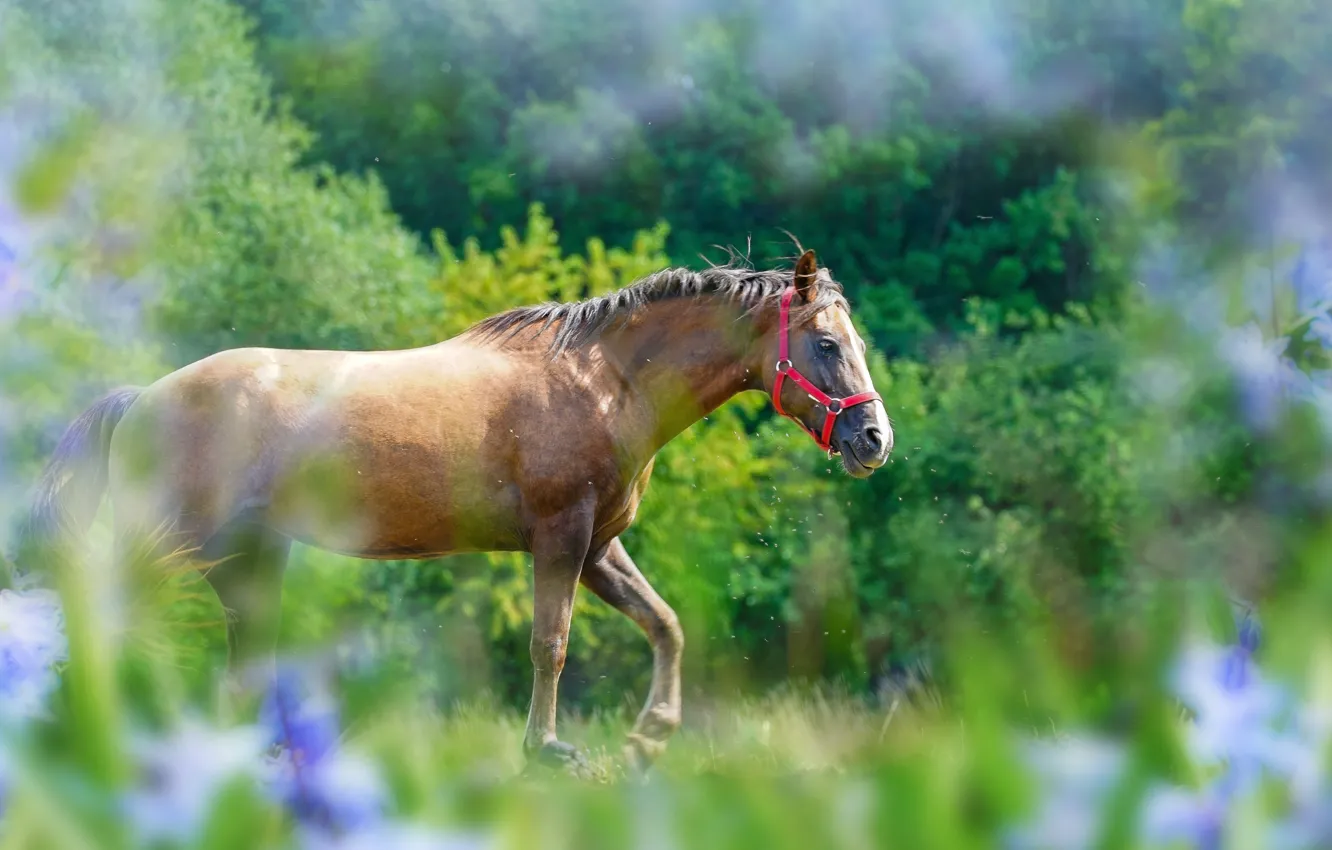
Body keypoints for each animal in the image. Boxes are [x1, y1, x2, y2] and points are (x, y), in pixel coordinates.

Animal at [22, 248, 892, 770]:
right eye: (825, 344)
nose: (874, 439)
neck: (605, 380)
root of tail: (142, 398)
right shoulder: (560, 538)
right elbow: (551, 645)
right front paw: (546, 749)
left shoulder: (599, 547)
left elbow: (665, 624)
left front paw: (650, 737)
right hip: (171, 549)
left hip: (248, 562)